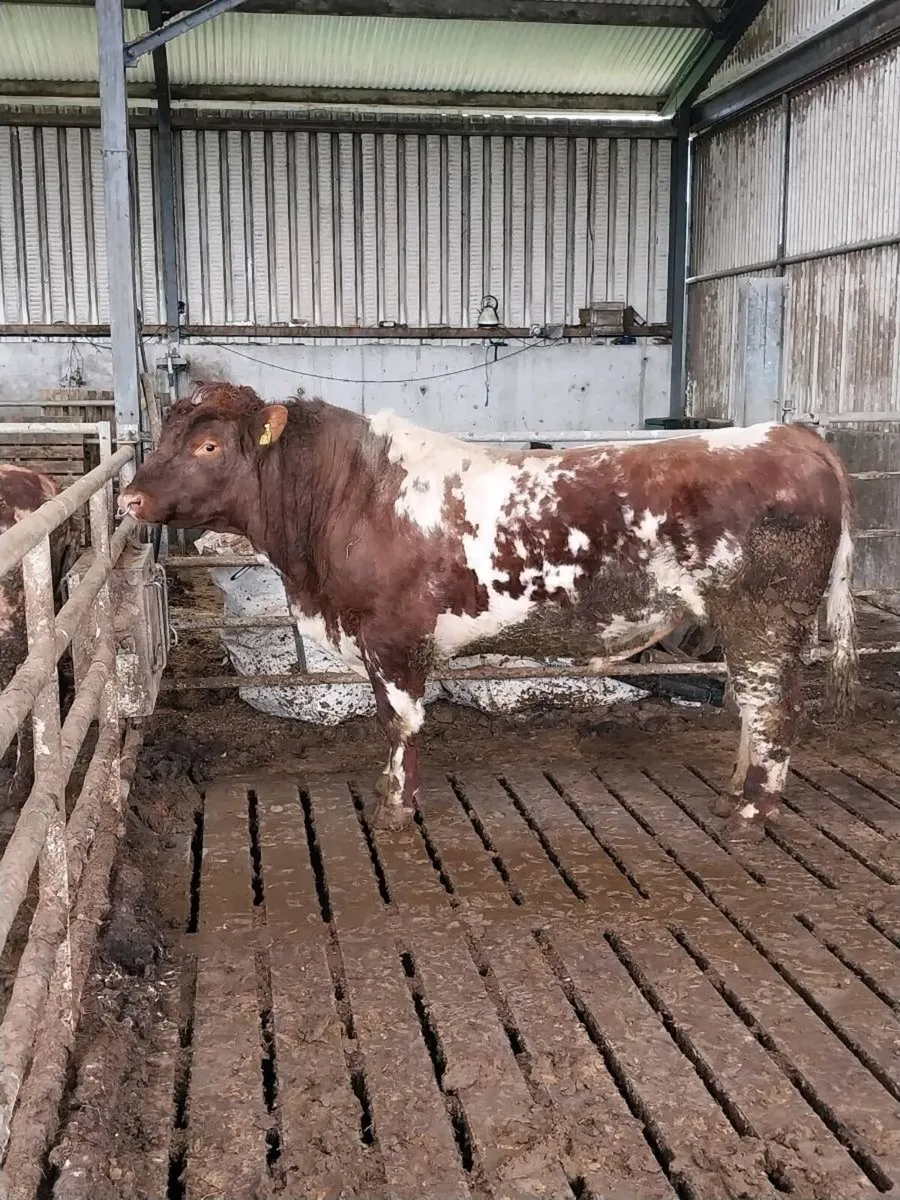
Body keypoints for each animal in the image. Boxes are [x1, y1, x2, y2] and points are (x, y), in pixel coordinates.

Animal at [119, 383, 857, 840]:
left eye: (209, 446)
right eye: (164, 436)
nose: (128, 499)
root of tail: (792, 438)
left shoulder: (392, 636)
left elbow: (400, 722)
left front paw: (397, 807)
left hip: (764, 617)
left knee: (775, 711)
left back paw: (749, 816)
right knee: (758, 710)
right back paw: (734, 794)